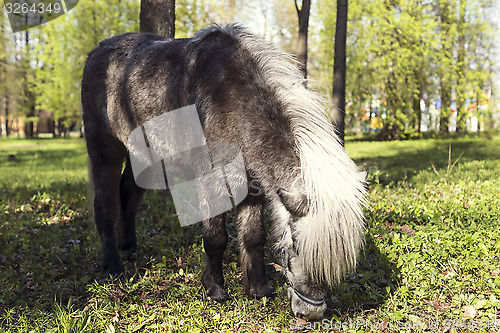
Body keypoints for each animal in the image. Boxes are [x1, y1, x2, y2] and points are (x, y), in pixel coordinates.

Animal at [81, 24, 364, 320]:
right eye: (295, 247)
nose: (311, 313)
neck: (231, 98)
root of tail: (98, 52)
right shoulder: (212, 183)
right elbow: (215, 238)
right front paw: (215, 289)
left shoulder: (253, 188)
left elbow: (253, 237)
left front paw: (258, 288)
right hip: (105, 152)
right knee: (105, 206)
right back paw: (114, 267)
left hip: (147, 160)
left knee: (128, 197)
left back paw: (129, 249)